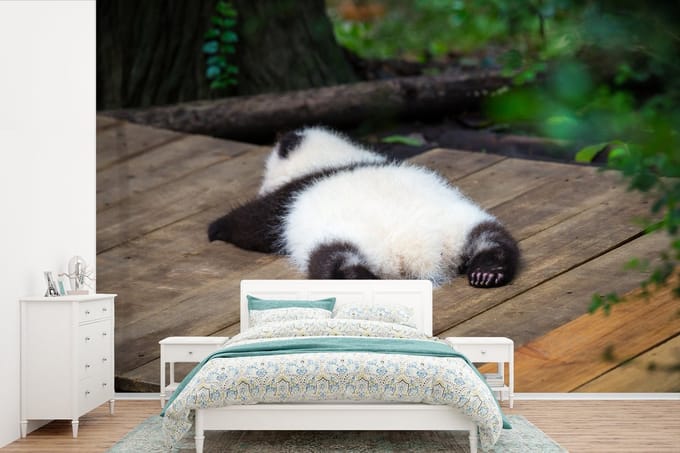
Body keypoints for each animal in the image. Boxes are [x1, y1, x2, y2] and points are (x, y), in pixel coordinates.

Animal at [208, 126, 520, 288]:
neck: (332, 159)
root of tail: (418, 251)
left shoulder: (287, 198)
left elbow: (253, 224)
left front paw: (216, 228)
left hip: (344, 239)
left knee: (333, 261)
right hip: (460, 223)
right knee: (493, 238)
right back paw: (488, 271)